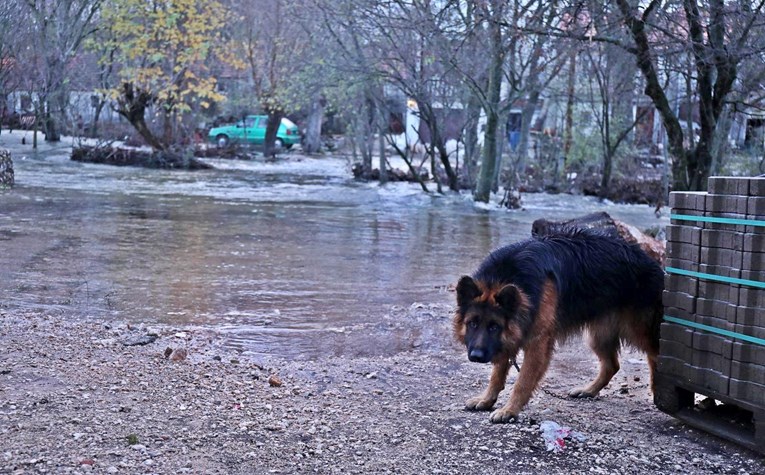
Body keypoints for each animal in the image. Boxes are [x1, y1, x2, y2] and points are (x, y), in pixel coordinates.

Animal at [454, 230, 664, 424]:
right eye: (472, 323)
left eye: (494, 327)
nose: (476, 356)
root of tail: (652, 263)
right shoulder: (507, 340)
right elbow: (497, 375)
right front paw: (487, 399)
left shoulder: (537, 344)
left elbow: (523, 382)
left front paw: (510, 410)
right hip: (598, 336)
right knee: (612, 365)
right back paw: (589, 390)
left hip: (638, 331)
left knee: (655, 355)